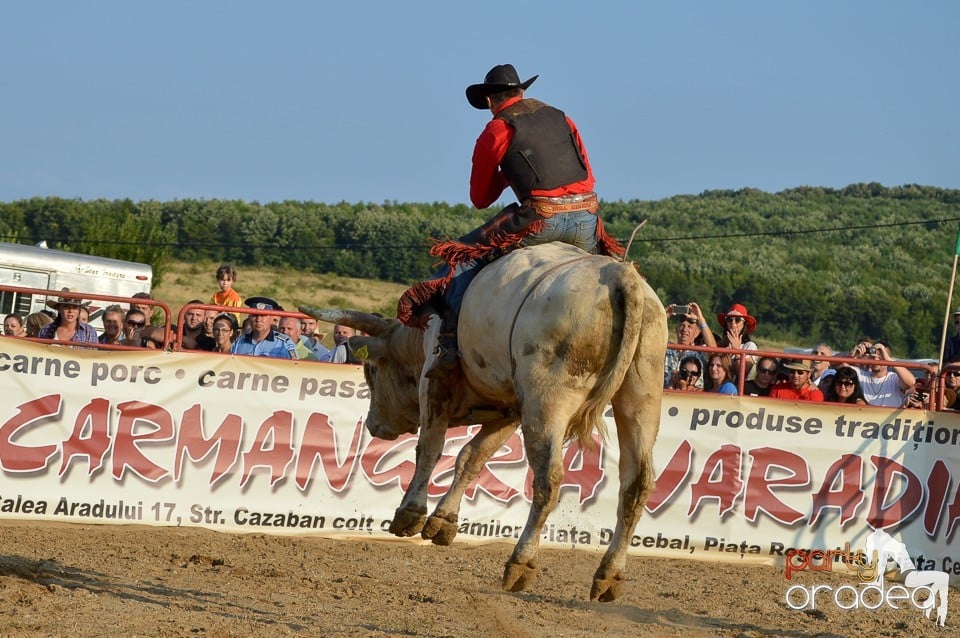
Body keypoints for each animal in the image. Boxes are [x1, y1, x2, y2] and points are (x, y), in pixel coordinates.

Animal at [304, 242, 664, 604]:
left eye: (371, 370)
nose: (374, 425)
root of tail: (620, 276)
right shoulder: (510, 410)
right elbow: (471, 457)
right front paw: (443, 520)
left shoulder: (435, 385)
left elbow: (430, 450)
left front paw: (410, 513)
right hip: (641, 397)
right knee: (636, 484)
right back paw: (608, 575)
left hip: (548, 399)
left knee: (549, 479)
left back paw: (521, 562)